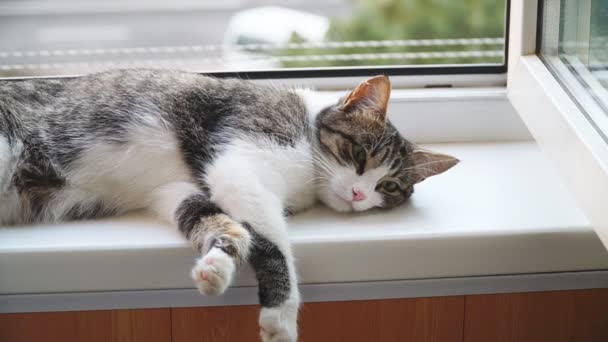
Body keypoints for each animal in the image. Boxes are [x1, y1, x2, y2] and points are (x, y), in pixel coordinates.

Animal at [0, 70, 456, 342]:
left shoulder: (177, 189)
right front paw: (282, 313)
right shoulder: (240, 161)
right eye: (360, 155)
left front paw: (217, 263)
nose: (361, 195)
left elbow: (213, 219)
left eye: (389, 186)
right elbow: (273, 241)